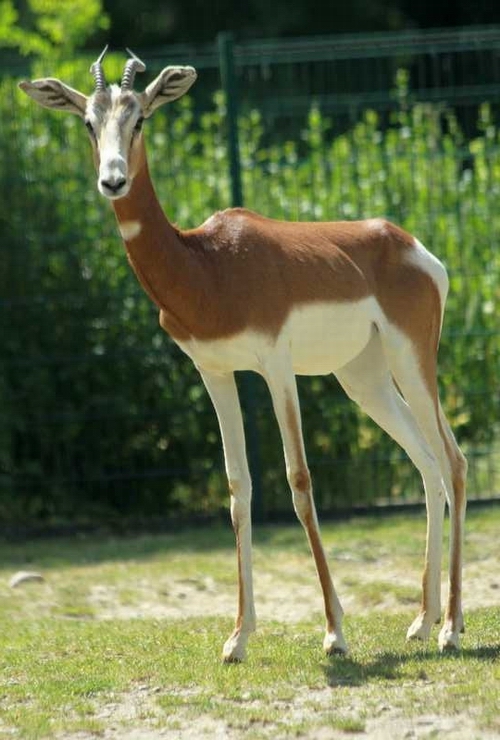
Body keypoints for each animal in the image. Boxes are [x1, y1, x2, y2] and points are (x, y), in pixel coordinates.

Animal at [19, 49, 467, 662]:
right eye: (89, 122)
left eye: (141, 118)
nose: (112, 180)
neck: (206, 263)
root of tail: (411, 246)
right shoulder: (214, 371)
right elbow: (238, 488)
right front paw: (238, 637)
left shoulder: (276, 368)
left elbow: (299, 481)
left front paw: (334, 632)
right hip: (364, 377)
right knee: (425, 463)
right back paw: (422, 622)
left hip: (412, 359)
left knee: (453, 460)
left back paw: (451, 627)